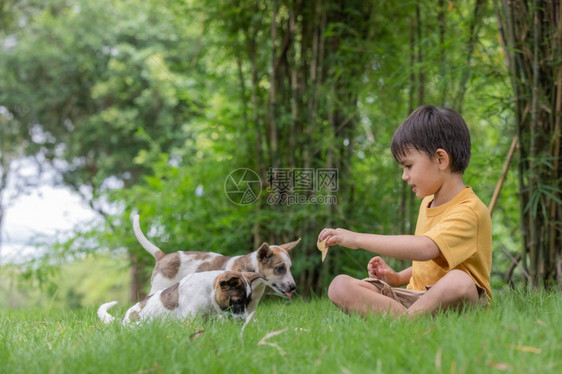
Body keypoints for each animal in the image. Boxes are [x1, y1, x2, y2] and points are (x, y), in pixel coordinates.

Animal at [97, 268, 264, 324]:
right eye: (237, 301)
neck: (207, 292)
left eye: (248, 303)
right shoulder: (191, 317)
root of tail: (124, 321)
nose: (244, 321)